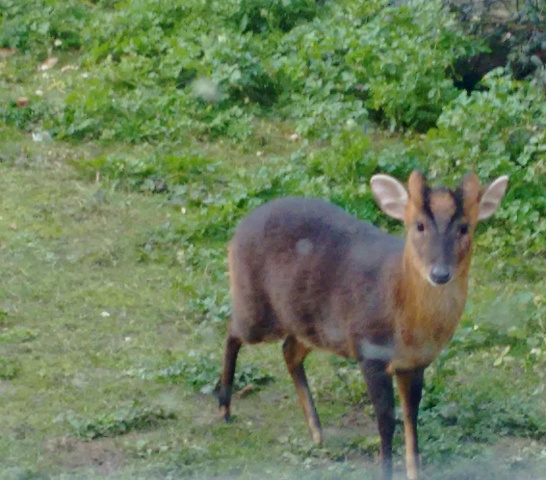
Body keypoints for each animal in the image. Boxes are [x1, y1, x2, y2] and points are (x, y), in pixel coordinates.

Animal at [216, 171, 506, 478]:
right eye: (419, 225)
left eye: (464, 227)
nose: (440, 274)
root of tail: (240, 227)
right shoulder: (370, 352)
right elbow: (386, 422)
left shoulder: (415, 364)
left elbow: (411, 421)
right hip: (256, 308)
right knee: (233, 331)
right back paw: (224, 409)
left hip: (314, 327)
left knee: (289, 350)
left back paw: (317, 431)